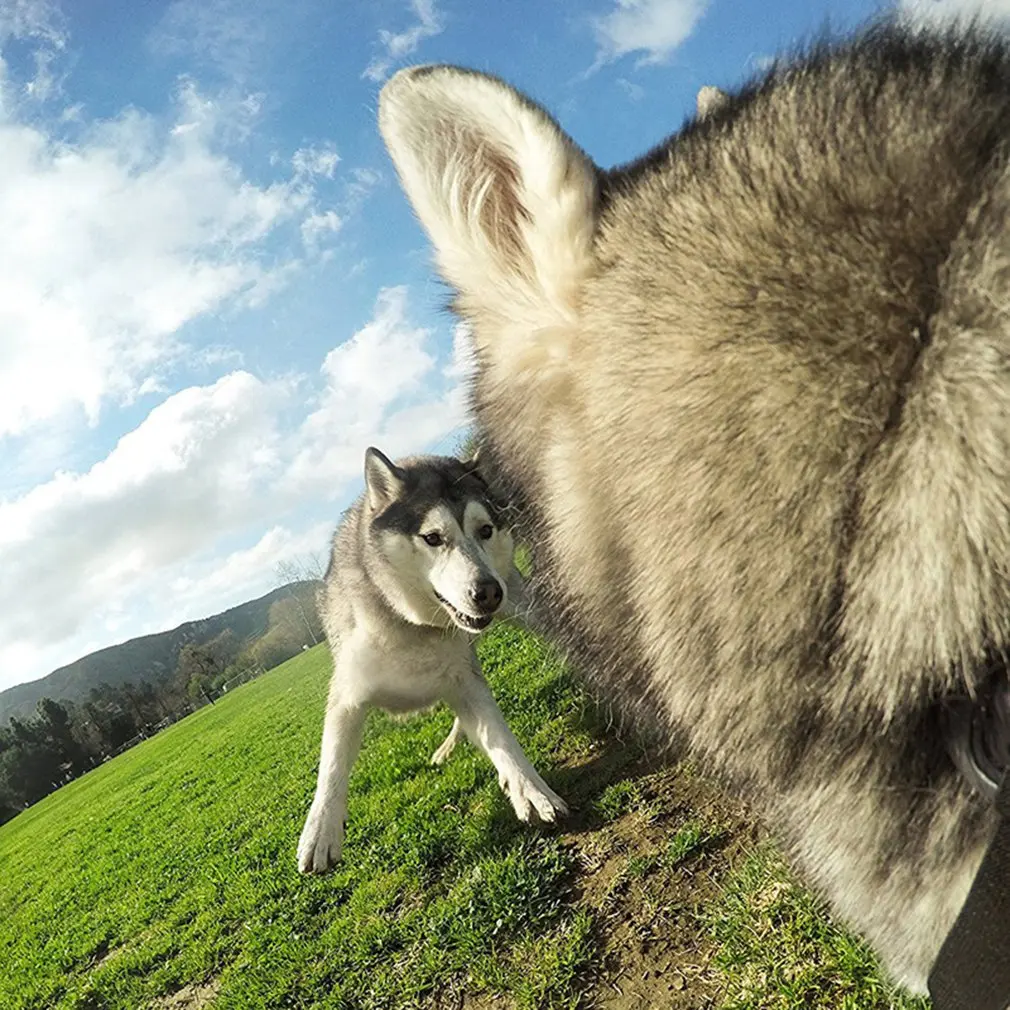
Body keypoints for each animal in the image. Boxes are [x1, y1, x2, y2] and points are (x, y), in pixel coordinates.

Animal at [298, 446, 569, 872]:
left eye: (485, 530)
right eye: (433, 538)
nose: (488, 593)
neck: (411, 626)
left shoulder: (464, 678)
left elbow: (500, 736)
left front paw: (531, 791)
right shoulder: (348, 694)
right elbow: (332, 764)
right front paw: (321, 830)